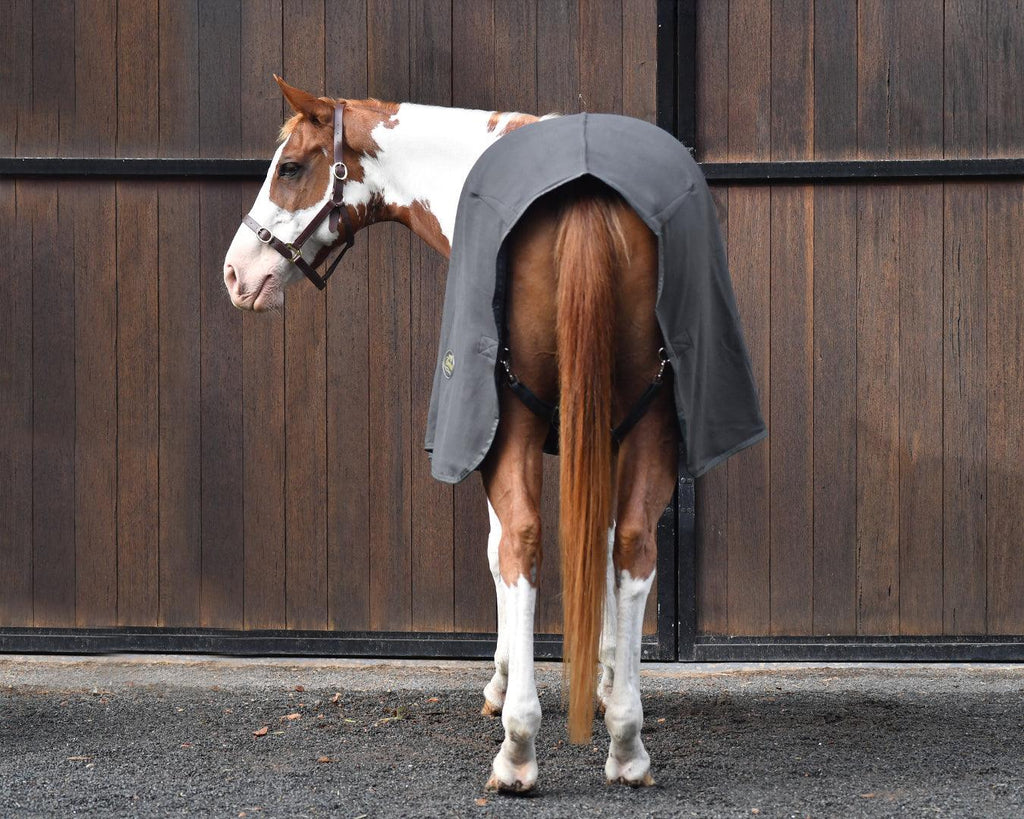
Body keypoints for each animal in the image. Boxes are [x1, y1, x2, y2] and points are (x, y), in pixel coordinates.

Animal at [224, 77, 679, 791]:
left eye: (290, 168)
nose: (236, 275)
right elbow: (602, 541)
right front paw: (607, 683)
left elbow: (499, 550)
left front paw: (503, 684)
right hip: (647, 420)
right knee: (632, 545)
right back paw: (627, 747)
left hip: (512, 422)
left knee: (521, 542)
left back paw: (518, 748)